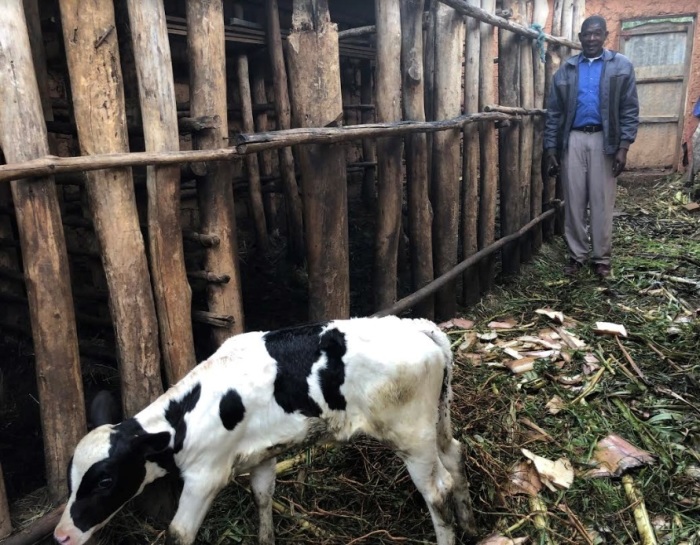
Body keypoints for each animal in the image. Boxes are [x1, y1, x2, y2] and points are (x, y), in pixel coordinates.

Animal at [54, 316, 478, 540]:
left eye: (106, 480)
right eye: (71, 479)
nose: (61, 535)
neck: (188, 417)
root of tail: (417, 327)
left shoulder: (205, 477)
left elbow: (179, 532)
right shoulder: (261, 454)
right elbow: (262, 497)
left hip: (410, 436)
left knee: (437, 489)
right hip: (435, 422)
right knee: (455, 456)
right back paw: (470, 524)